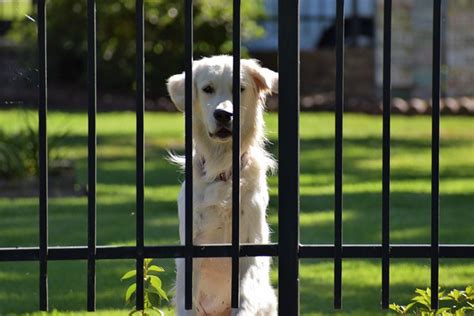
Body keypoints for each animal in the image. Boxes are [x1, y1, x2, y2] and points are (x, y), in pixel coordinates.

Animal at [167, 55, 278, 314]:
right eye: (207, 89)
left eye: (240, 88)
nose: (224, 115)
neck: (222, 171)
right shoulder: (191, 254)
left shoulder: (251, 247)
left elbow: (246, 294)